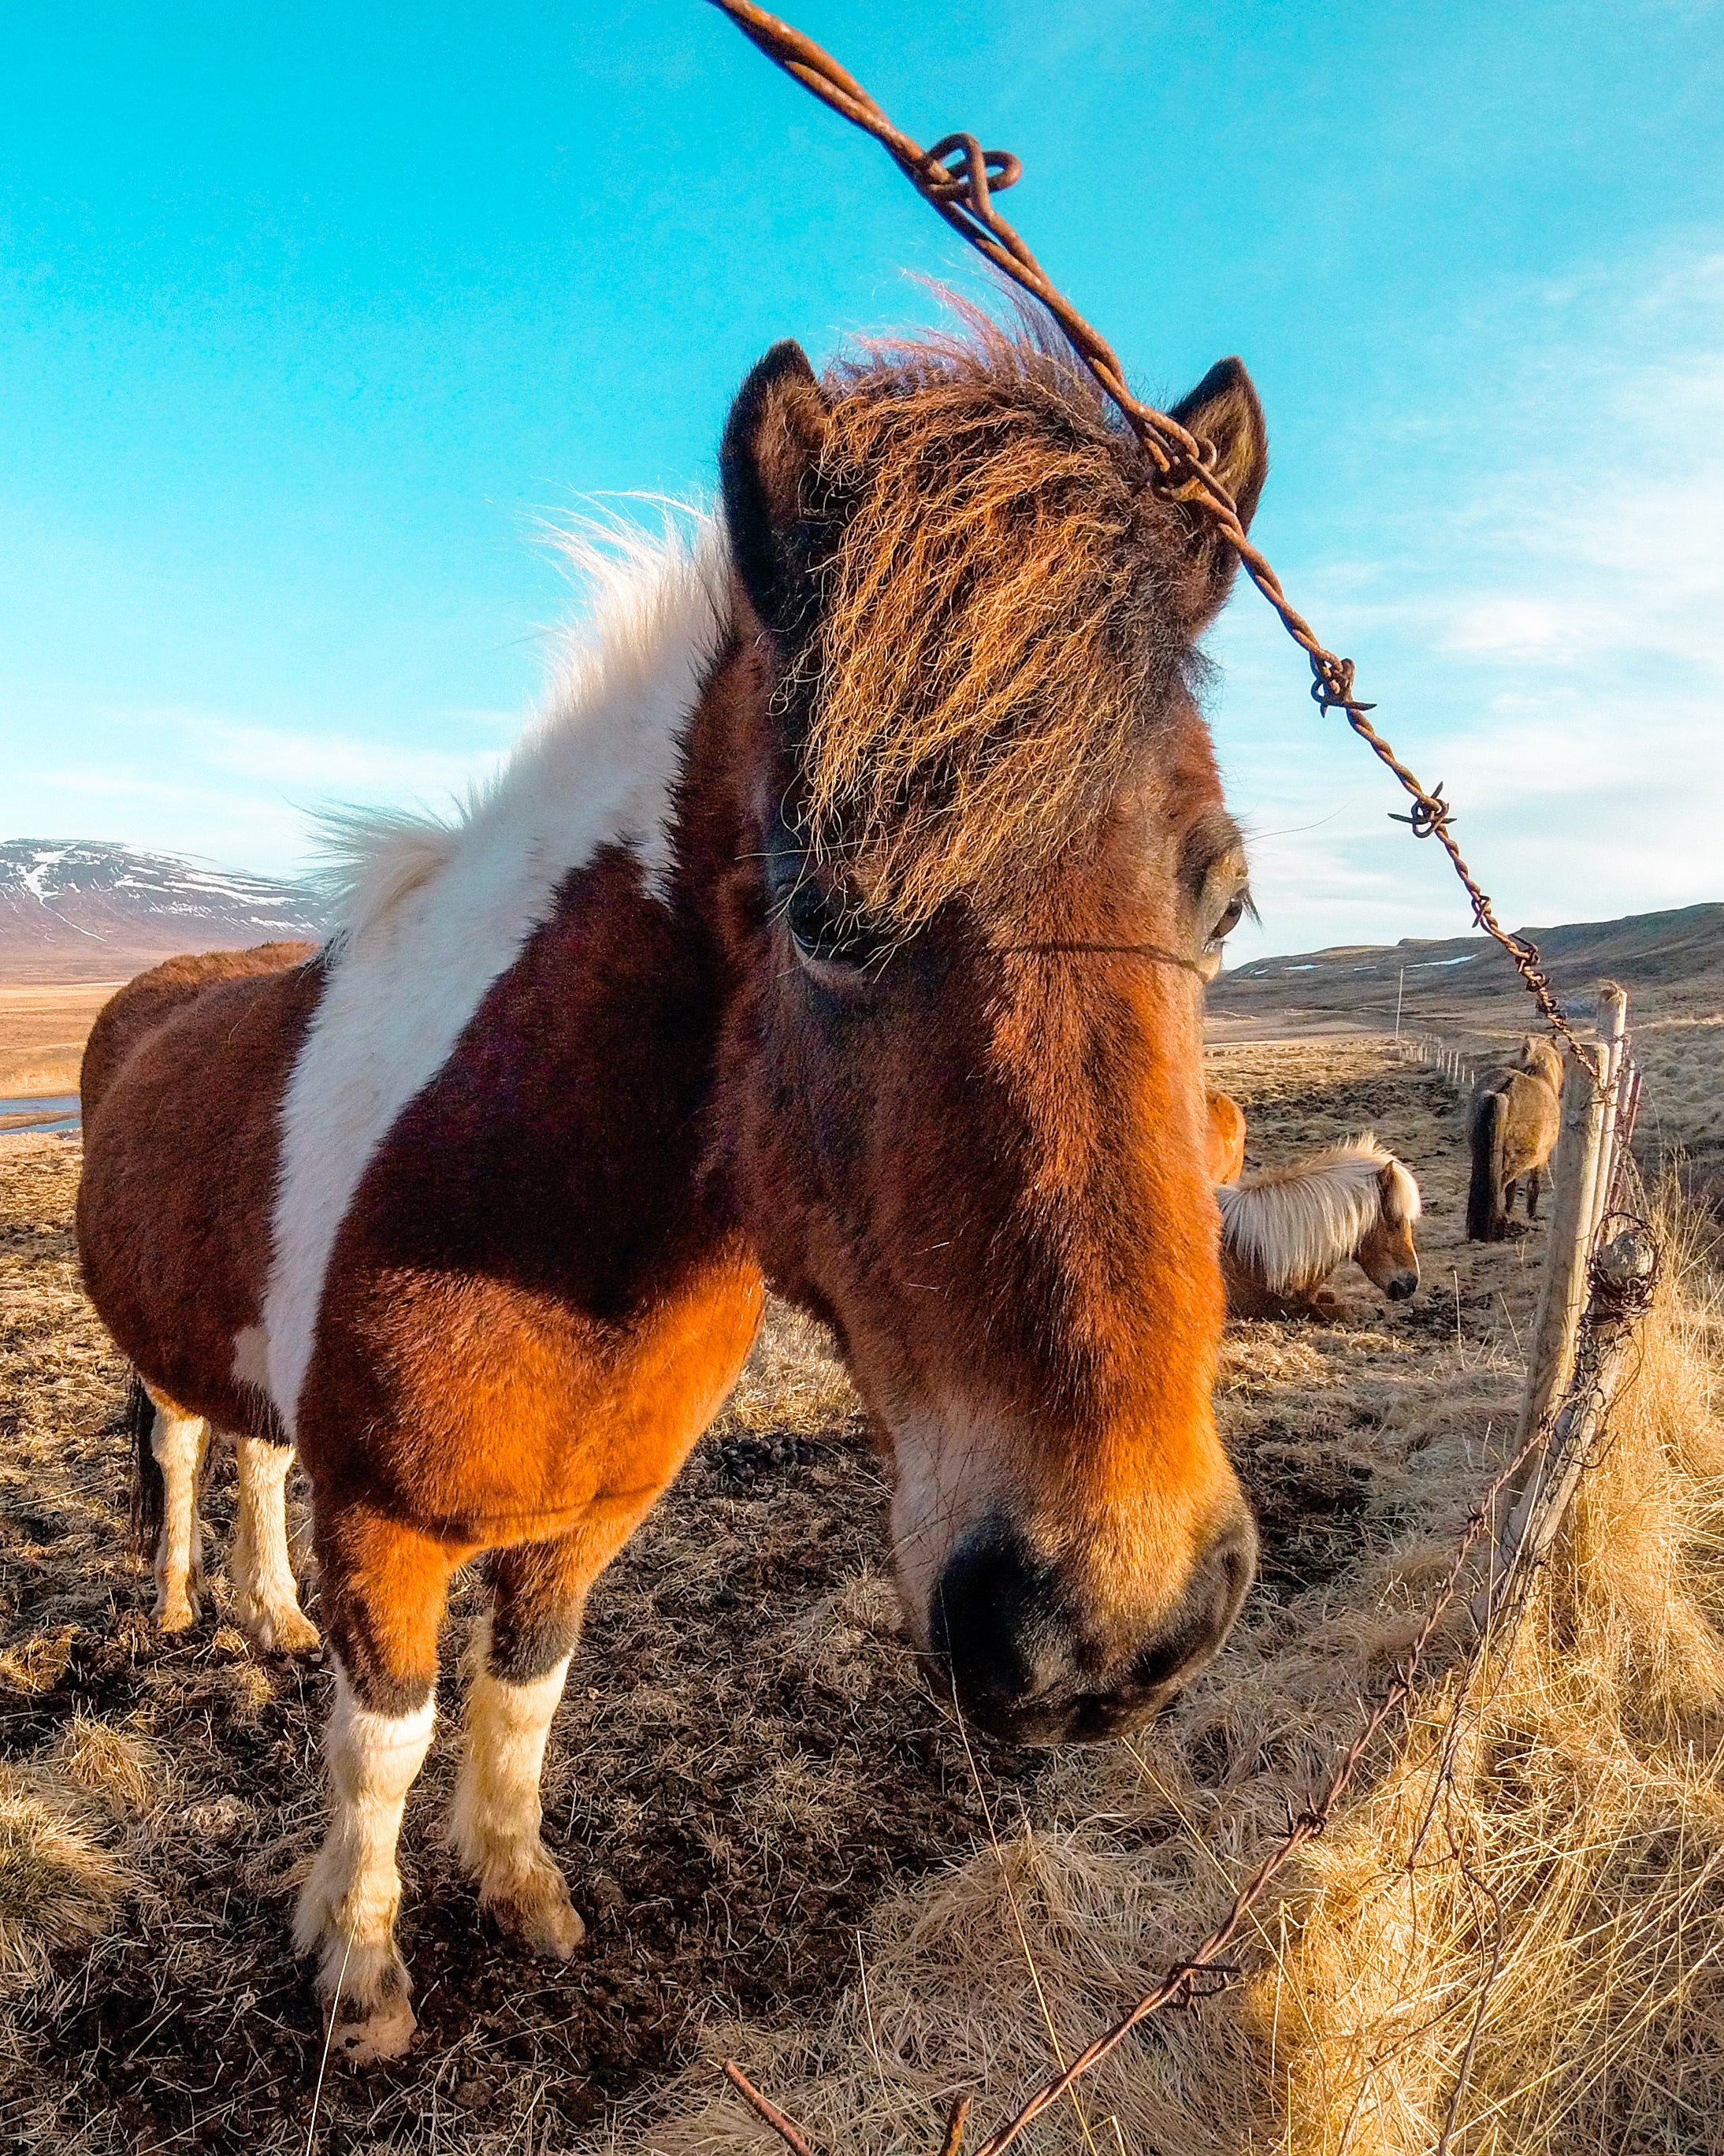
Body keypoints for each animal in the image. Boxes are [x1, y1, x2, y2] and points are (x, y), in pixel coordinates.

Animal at [77, 314, 1267, 2052]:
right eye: (824, 912)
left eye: (1223, 901)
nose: (1116, 1621)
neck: (529, 1196)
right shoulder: (389, 1528)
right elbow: (383, 1744)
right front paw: (359, 1975)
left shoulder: (585, 1523)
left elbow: (520, 1701)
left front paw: (522, 1895)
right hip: (164, 1352)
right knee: (180, 1450)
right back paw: (182, 1604)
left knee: (250, 1455)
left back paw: (264, 1609)